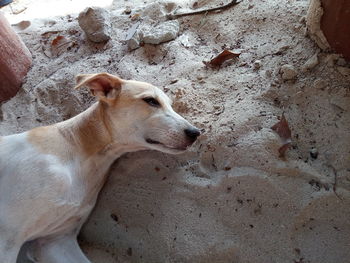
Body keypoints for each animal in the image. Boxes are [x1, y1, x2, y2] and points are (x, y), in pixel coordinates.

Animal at [0, 72, 200, 263]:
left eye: (171, 105)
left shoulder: (55, 242)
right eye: (151, 100)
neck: (79, 153)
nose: (196, 133)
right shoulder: (7, 238)